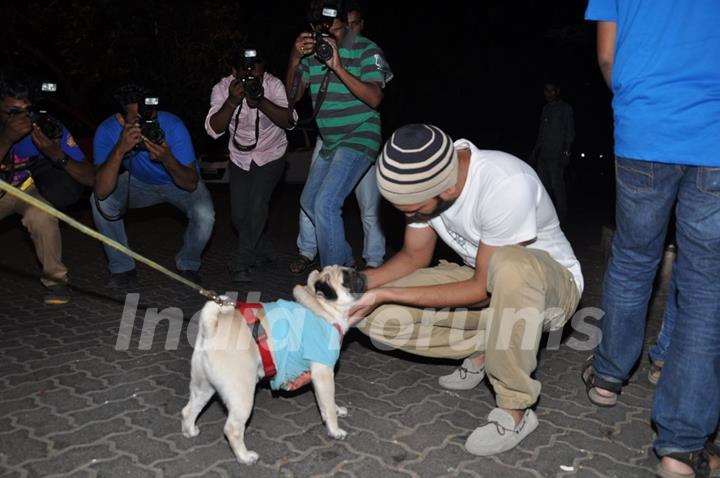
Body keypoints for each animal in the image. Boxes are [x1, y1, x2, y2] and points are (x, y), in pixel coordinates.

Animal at [181, 266, 366, 464]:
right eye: (347, 278)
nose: (360, 272)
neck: (320, 307)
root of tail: (211, 328)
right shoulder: (323, 374)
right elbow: (328, 405)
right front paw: (335, 430)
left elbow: (329, 401)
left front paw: (338, 410)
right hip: (241, 394)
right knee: (232, 428)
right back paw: (245, 457)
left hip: (203, 386)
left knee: (189, 410)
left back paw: (190, 431)